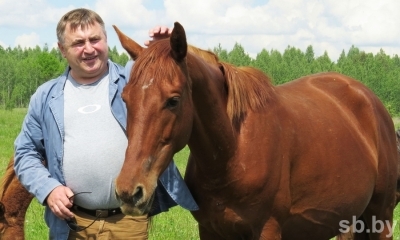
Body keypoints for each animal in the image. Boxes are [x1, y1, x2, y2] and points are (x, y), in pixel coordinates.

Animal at [112, 22, 396, 238]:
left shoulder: (267, 229)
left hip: (381, 218)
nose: (128, 192)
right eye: (125, 98)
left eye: (173, 100)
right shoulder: (210, 230)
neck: (234, 153)